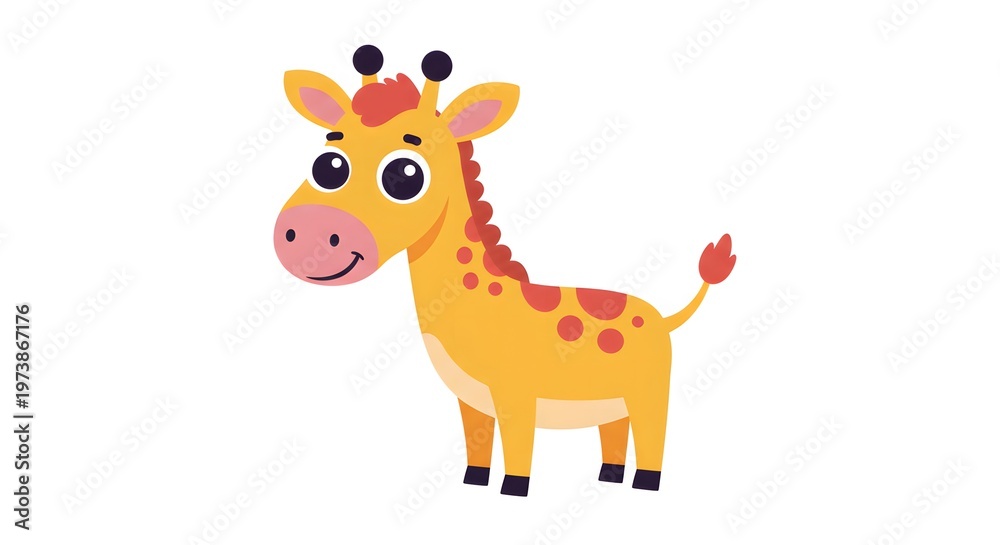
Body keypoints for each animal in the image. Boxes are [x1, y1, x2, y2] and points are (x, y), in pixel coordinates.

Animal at [273, 46, 736, 497]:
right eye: (328, 164)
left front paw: (513, 490)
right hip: (614, 400)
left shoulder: (517, 395)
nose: (309, 235)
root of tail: (663, 317)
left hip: (649, 393)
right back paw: (609, 477)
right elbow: (476, 442)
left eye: (405, 175)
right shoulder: (471, 399)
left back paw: (645, 483)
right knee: (615, 433)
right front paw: (474, 482)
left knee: (653, 435)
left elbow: (518, 448)